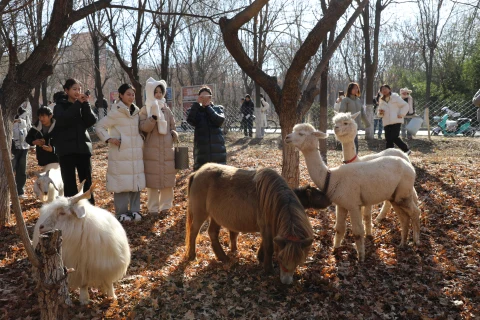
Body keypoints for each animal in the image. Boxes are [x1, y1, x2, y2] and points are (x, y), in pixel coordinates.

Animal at [185, 164, 316, 284]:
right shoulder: (266, 227)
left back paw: (223, 257)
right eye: (281, 257)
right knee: (194, 232)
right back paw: (192, 255)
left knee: (212, 233)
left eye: (299, 260)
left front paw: (260, 257)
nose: (286, 282)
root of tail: (196, 173)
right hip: (200, 214)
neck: (273, 199)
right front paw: (268, 269)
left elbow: (265, 244)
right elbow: (269, 247)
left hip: (215, 217)